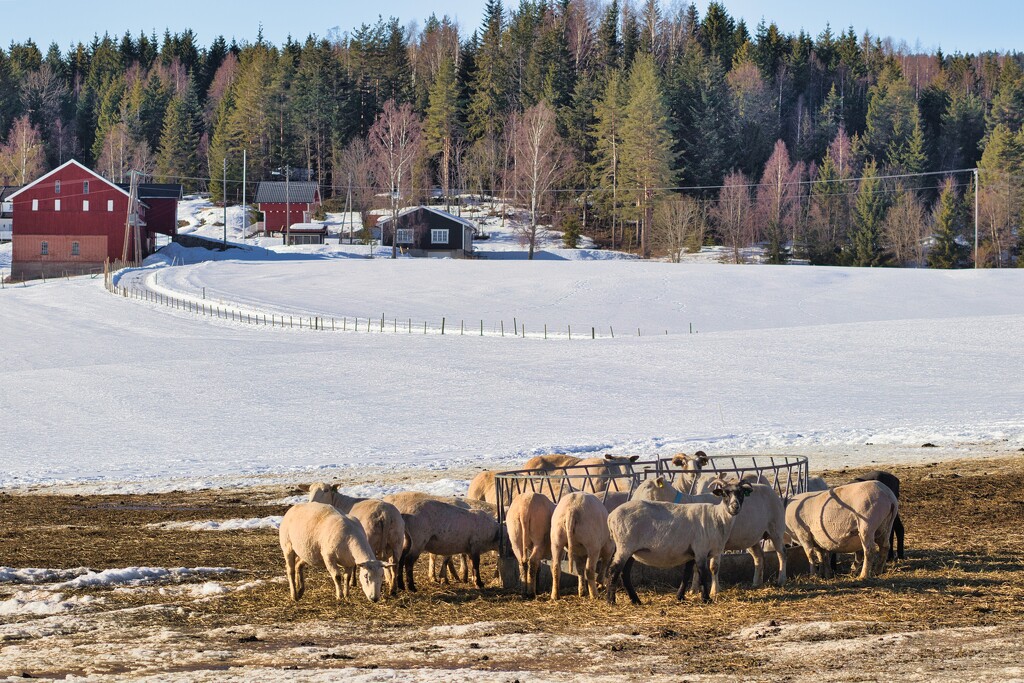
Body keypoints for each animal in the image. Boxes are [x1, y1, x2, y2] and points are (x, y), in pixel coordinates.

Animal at [602, 479, 757, 606]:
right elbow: (703, 574)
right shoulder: (700, 550)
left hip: (632, 551)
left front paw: (680, 597)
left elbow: (687, 574)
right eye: (724, 494)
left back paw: (635, 600)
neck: (717, 517)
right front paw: (706, 598)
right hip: (624, 546)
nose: (735, 507)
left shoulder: (691, 553)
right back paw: (611, 601)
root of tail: (610, 517)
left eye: (741, 493)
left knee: (625, 573)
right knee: (614, 570)